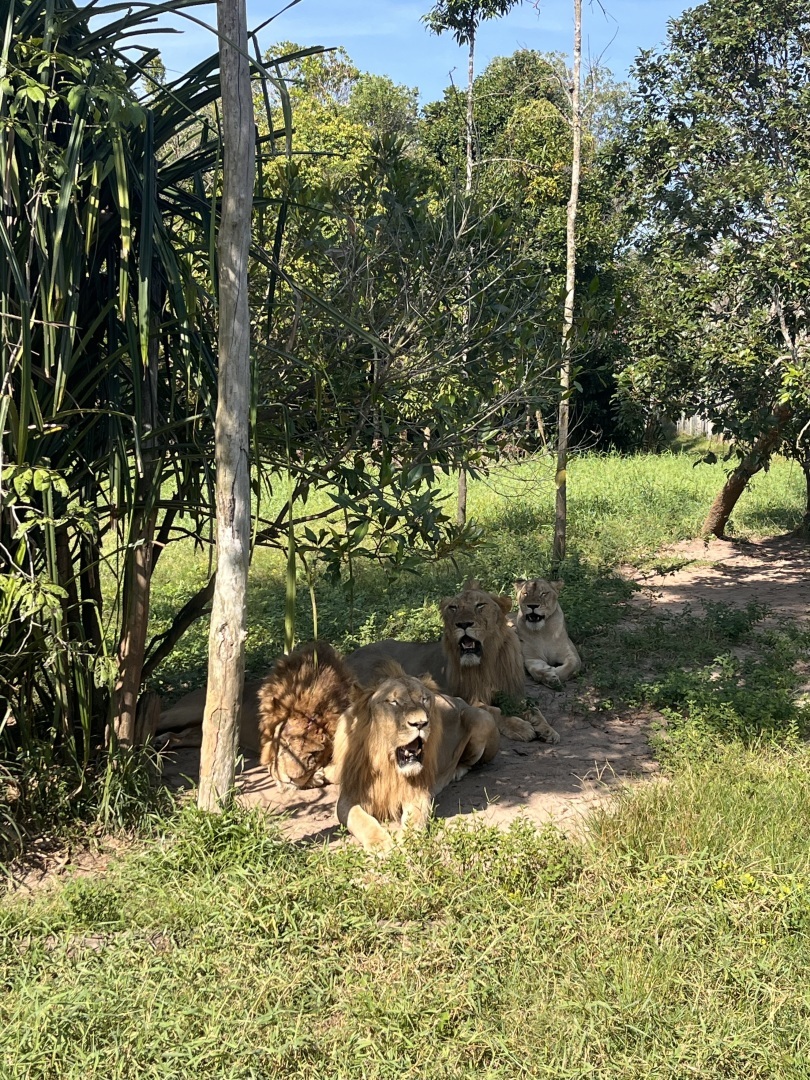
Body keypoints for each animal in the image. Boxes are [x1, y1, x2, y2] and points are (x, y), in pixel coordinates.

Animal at [332, 661, 500, 853]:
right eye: (394, 702)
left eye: (424, 699)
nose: (420, 723)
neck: (386, 764)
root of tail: (459, 700)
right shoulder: (348, 796)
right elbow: (359, 818)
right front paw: (380, 844)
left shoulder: (418, 793)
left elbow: (414, 820)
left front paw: (406, 842)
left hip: (480, 717)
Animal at [346, 581, 559, 745]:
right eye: (453, 608)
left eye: (480, 605)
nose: (463, 624)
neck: (487, 661)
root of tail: (349, 656)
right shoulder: (463, 696)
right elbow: (493, 711)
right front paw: (521, 727)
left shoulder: (512, 692)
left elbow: (533, 709)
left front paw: (547, 729)